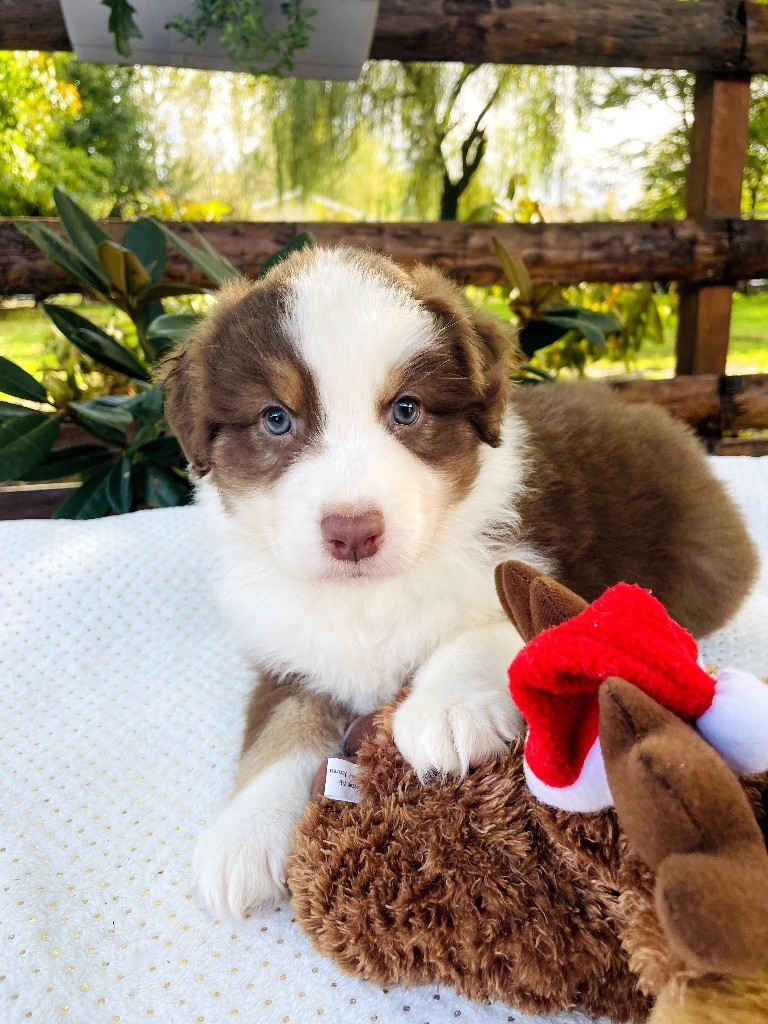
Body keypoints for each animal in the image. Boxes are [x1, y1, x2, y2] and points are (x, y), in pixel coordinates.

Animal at [160, 245, 757, 921]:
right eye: (276, 419)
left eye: (406, 409)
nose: (353, 532)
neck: (366, 597)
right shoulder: (287, 649)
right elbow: (278, 726)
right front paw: (246, 833)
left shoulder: (531, 562)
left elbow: (490, 626)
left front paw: (448, 709)